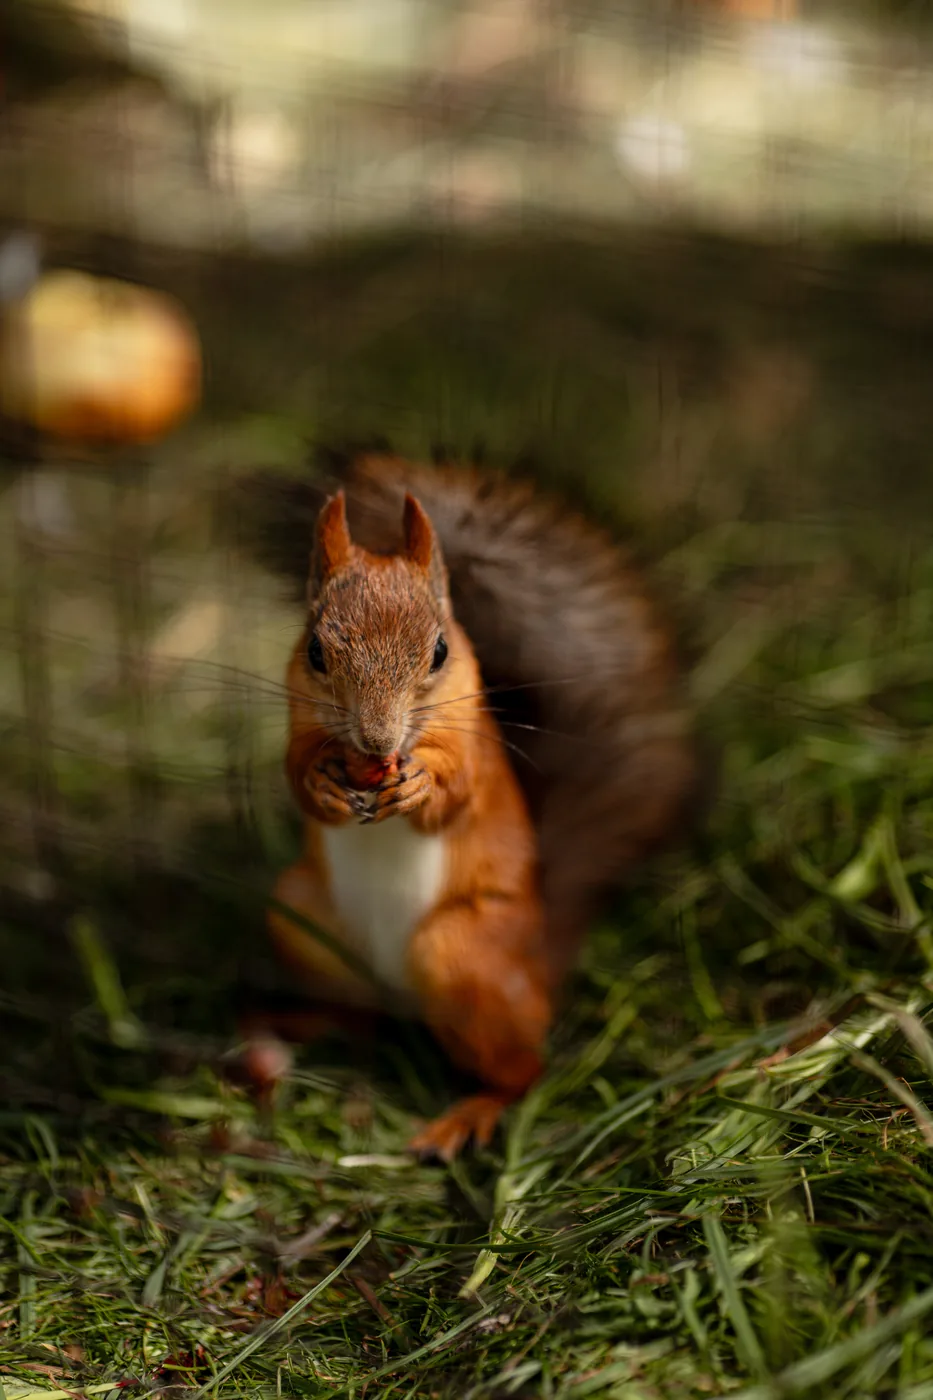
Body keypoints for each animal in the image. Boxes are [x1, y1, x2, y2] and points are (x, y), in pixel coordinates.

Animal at [237, 446, 696, 1160]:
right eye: (314, 651)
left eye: (440, 651)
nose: (377, 741)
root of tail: (537, 962)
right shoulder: (298, 720)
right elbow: (296, 773)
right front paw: (323, 785)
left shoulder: (474, 749)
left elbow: (457, 794)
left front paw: (421, 785)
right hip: (301, 914)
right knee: (361, 1017)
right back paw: (297, 1021)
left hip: (461, 954)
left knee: (524, 1071)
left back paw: (470, 1113)